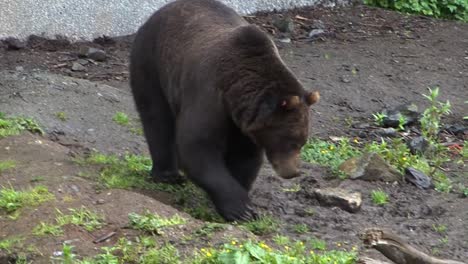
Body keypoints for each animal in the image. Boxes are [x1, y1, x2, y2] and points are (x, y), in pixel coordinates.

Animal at [129, 0, 318, 221]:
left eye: (303, 142)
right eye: (291, 141)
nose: (293, 171)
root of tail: (160, 11)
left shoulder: (243, 123)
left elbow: (244, 157)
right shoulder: (209, 95)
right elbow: (197, 146)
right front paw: (242, 209)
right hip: (151, 61)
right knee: (156, 117)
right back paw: (167, 175)